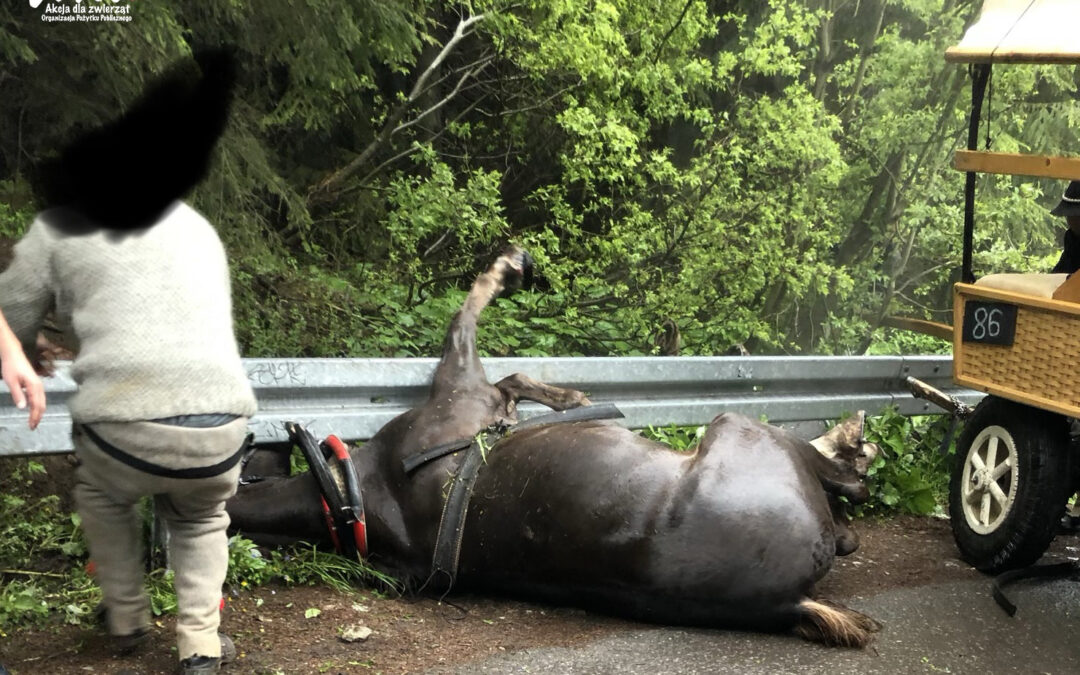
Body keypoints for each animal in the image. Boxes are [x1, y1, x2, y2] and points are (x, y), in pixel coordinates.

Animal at [225, 246, 876, 643]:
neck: (352, 493)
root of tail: (788, 603)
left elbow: (509, 371)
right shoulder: (466, 385)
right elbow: (475, 318)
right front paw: (513, 272)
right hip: (738, 425)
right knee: (836, 476)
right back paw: (852, 444)